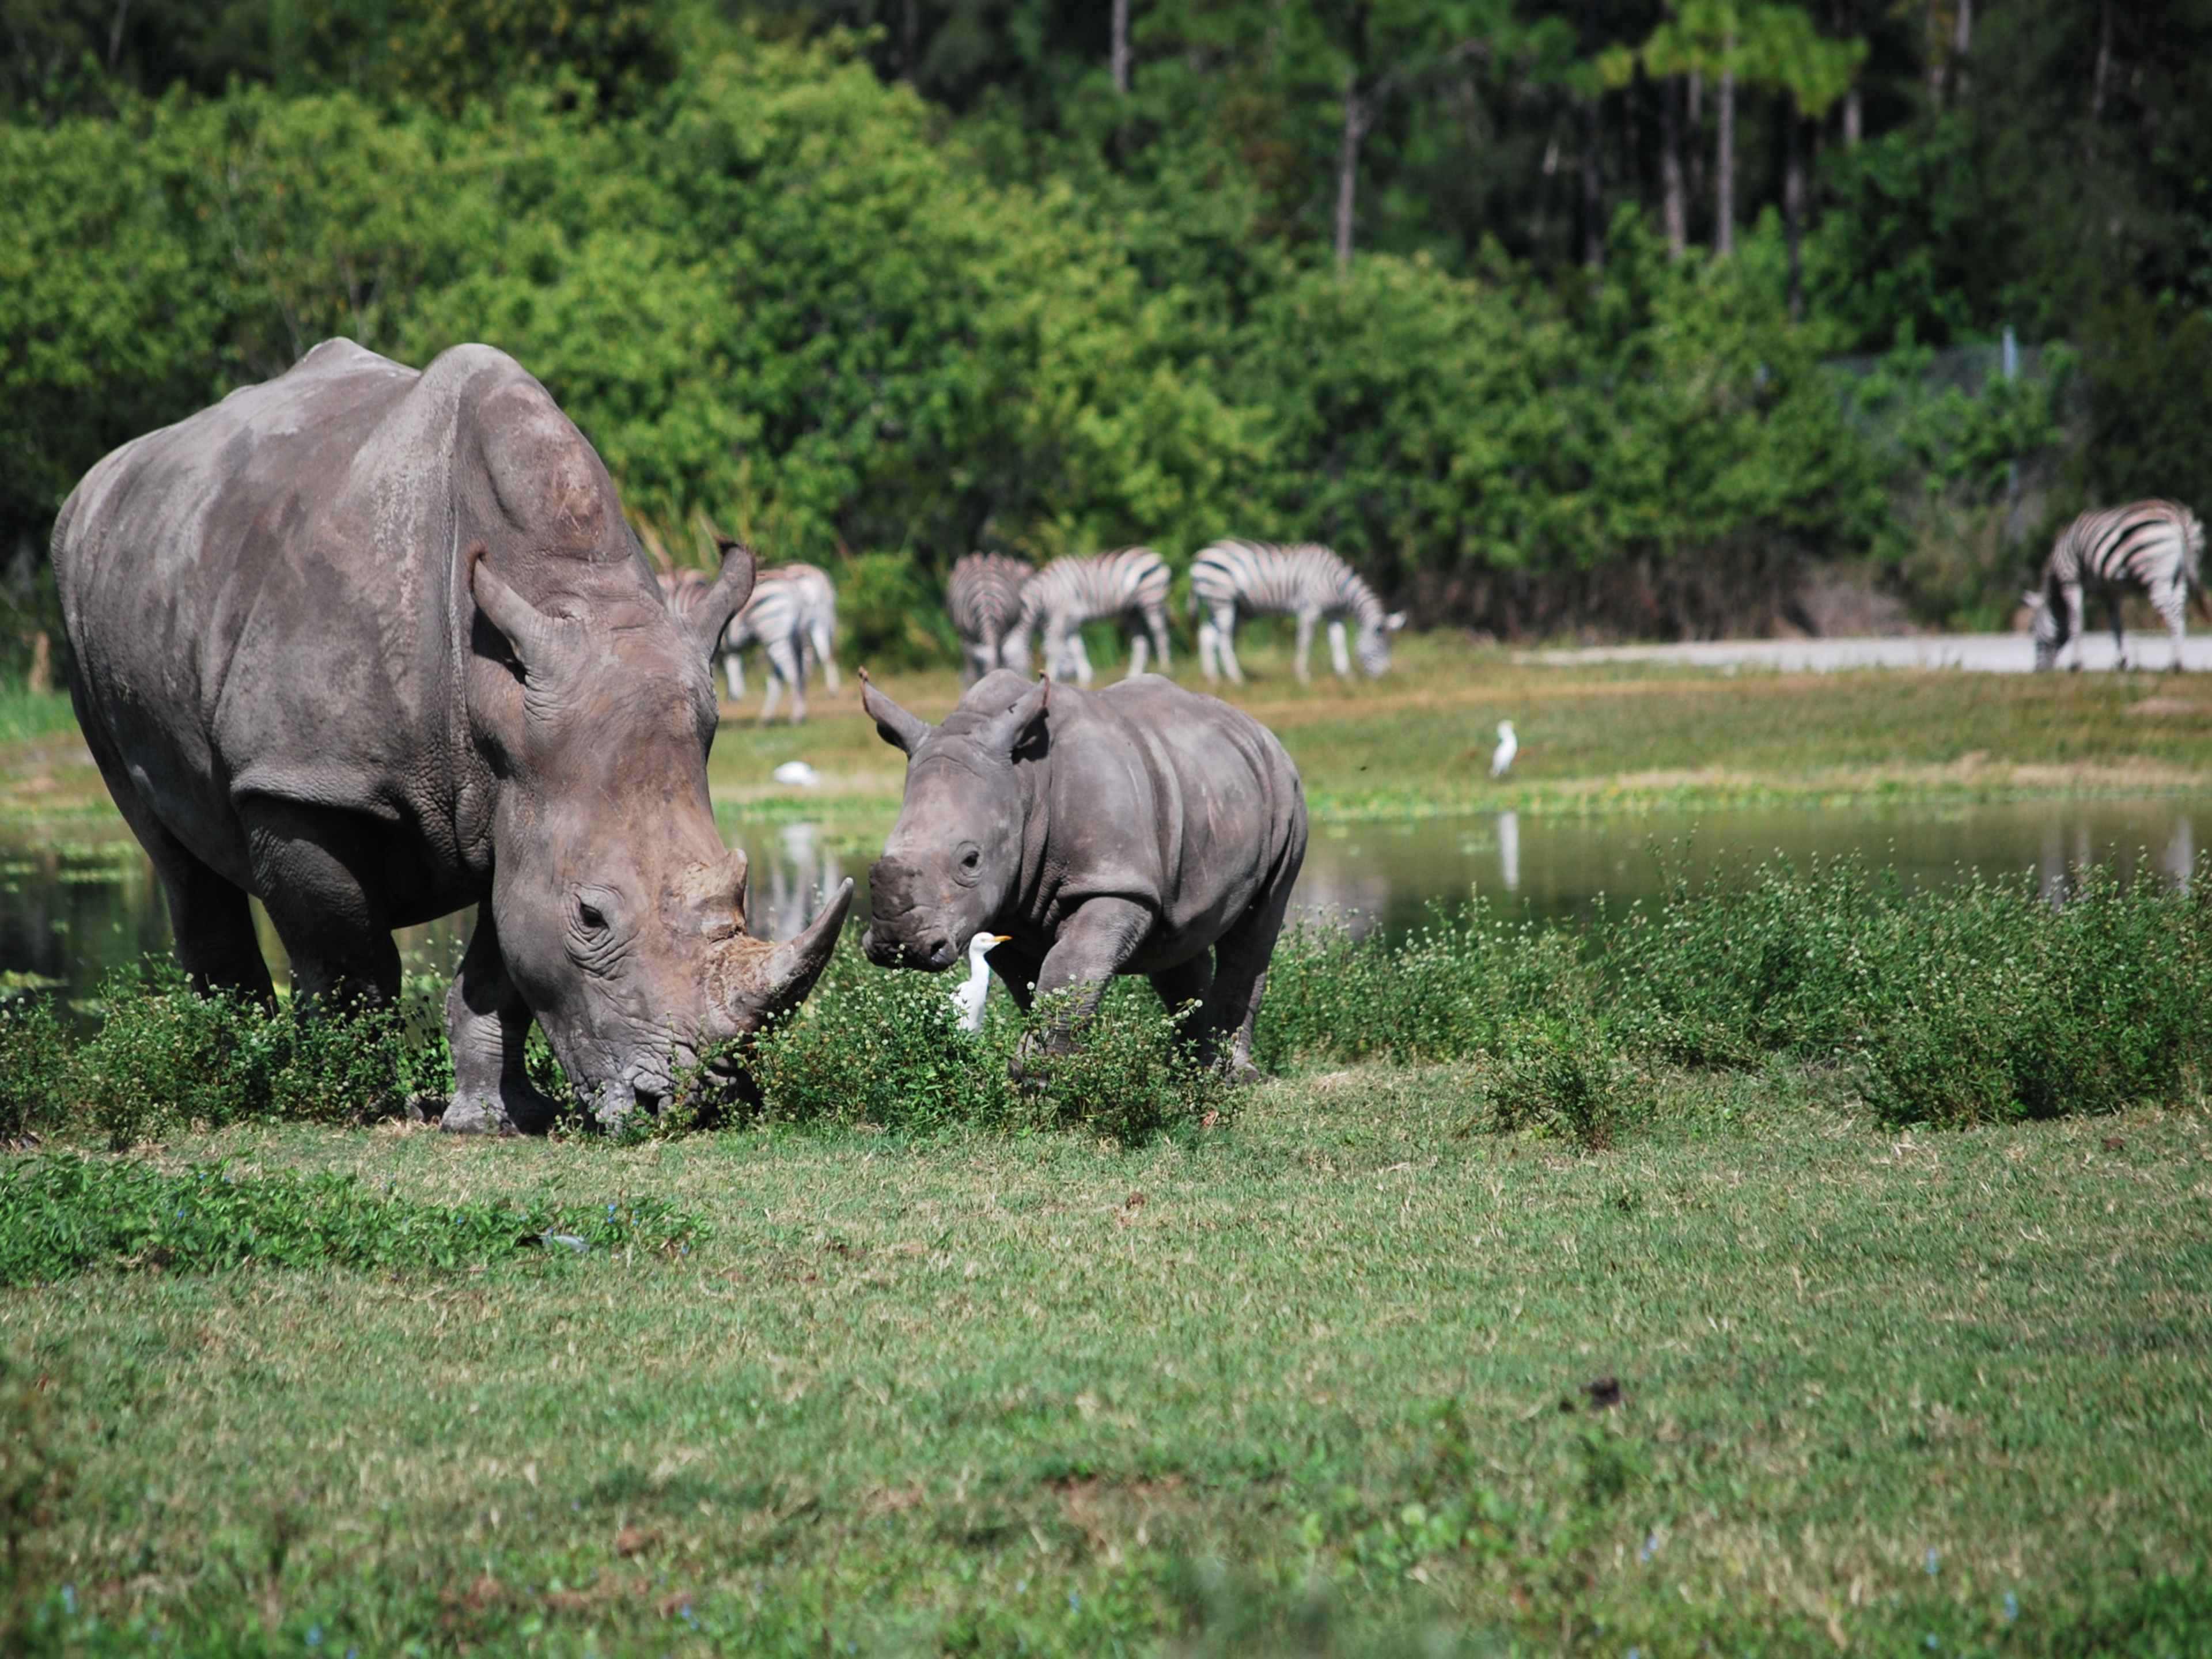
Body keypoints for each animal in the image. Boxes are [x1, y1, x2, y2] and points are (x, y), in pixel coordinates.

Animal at [52, 339, 851, 1132]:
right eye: (591, 917)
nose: (698, 1104)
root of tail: (100, 481)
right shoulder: (302, 780)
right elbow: (351, 959)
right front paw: (358, 1102)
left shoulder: (529, 789)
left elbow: (503, 959)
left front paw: (497, 1118)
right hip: (84, 601)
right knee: (173, 852)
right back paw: (240, 1075)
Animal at [857, 669, 1306, 1077]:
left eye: (971, 860)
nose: (898, 945)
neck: (1024, 783)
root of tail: (1257, 728)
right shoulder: (1002, 908)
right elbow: (1032, 984)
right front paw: (1037, 1069)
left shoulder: (1113, 881)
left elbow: (1068, 967)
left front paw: (1043, 1075)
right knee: (1177, 939)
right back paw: (1190, 1070)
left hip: (1286, 789)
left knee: (1257, 927)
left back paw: (1230, 1077)